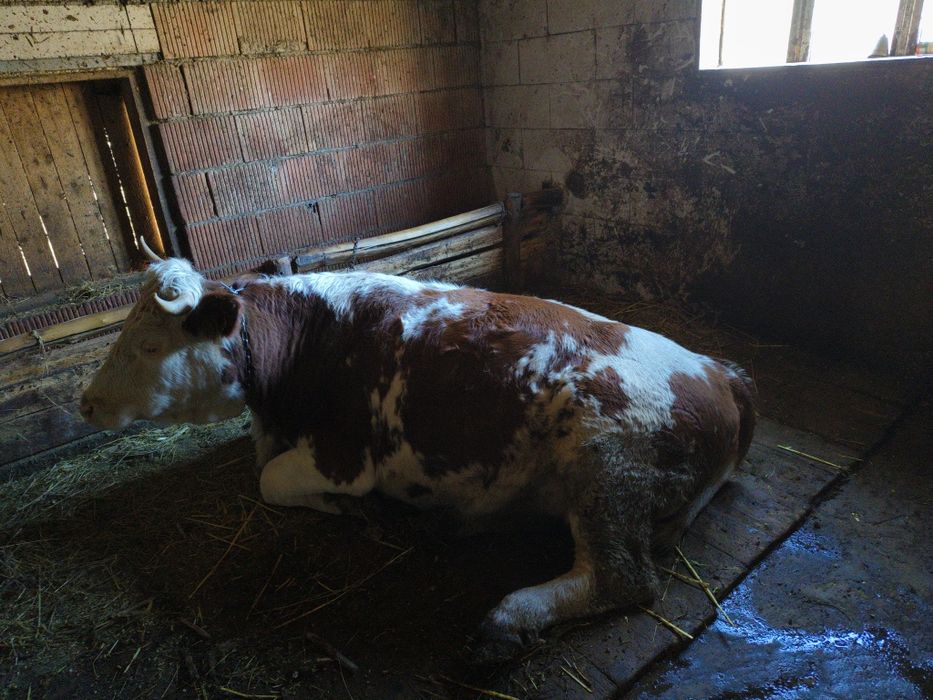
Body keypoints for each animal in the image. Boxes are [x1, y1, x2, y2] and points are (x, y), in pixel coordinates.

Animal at [81, 255, 755, 660]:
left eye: (149, 344)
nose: (86, 403)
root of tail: (718, 368)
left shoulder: (343, 457)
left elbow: (269, 480)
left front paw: (351, 510)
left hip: (605, 460)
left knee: (623, 577)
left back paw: (508, 617)